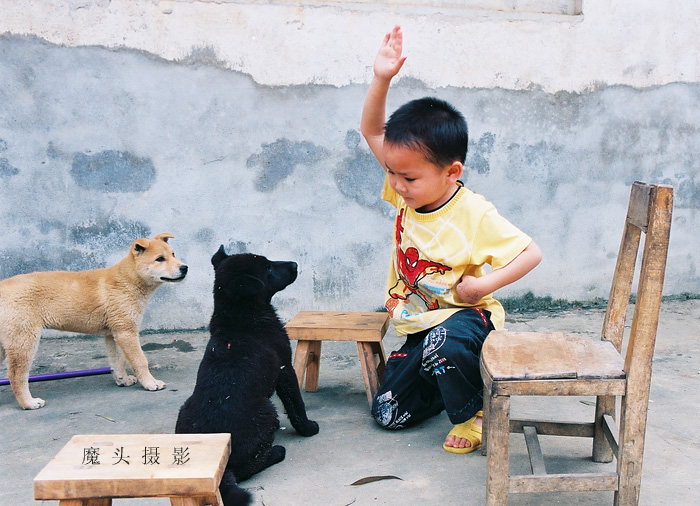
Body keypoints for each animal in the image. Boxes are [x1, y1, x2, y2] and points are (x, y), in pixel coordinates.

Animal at [0, 232, 189, 408]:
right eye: (160, 259)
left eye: (173, 254)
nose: (185, 268)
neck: (128, 280)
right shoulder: (126, 331)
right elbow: (140, 360)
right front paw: (151, 383)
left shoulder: (114, 333)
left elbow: (118, 360)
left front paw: (123, 380)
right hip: (23, 340)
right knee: (16, 375)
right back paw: (29, 403)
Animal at [175, 247, 320, 504]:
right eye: (268, 268)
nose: (294, 264)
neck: (239, 316)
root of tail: (218, 466)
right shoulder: (285, 369)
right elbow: (296, 405)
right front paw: (308, 428)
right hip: (266, 412)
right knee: (247, 470)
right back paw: (276, 452)